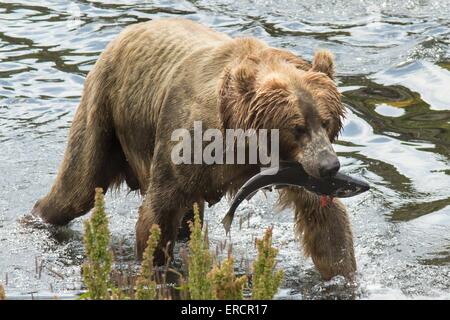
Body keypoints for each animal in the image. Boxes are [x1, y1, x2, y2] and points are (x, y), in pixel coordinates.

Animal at [30, 18, 356, 280]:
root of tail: (126, 31)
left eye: (325, 121)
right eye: (297, 127)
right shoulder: (187, 141)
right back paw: (37, 218)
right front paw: (156, 269)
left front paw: (342, 274)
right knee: (76, 188)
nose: (330, 166)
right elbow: (157, 215)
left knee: (188, 218)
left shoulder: (293, 169)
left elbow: (326, 222)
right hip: (104, 111)